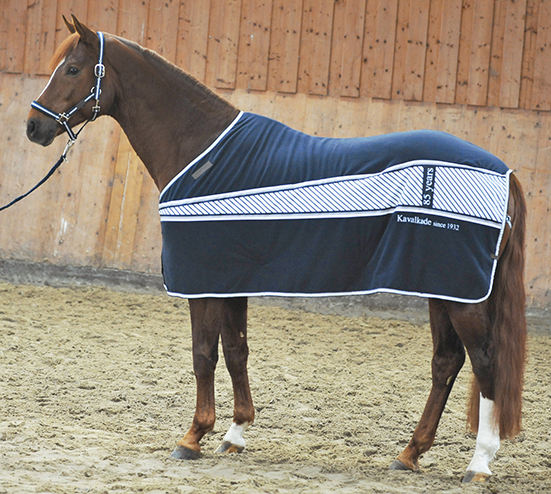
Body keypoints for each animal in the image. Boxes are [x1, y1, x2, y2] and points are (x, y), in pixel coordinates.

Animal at [26, 16, 527, 484]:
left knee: (485, 364)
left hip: (460, 294)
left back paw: (479, 463)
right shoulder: (231, 282)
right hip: (442, 286)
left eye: (72, 68)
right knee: (447, 363)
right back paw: (410, 453)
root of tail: (504, 172)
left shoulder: (204, 282)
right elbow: (236, 351)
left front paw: (193, 436)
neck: (204, 155)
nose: (33, 126)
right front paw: (234, 434)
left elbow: (203, 353)